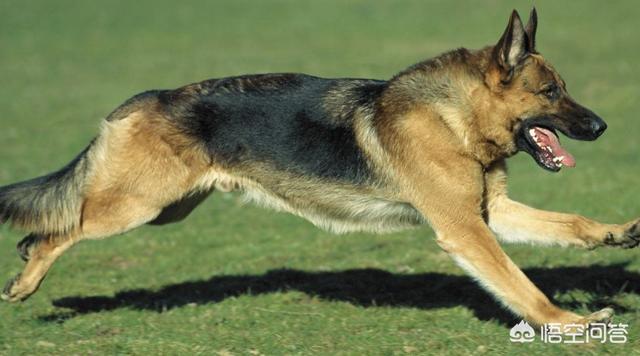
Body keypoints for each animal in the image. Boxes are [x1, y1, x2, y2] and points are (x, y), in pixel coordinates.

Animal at [1, 8, 640, 326]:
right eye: (552, 92)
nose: (603, 127)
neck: (454, 116)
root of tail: (142, 99)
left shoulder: (492, 213)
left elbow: (572, 224)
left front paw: (615, 234)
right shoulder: (465, 229)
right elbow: (520, 284)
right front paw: (569, 323)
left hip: (167, 210)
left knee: (52, 226)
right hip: (136, 208)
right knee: (55, 230)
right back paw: (26, 282)